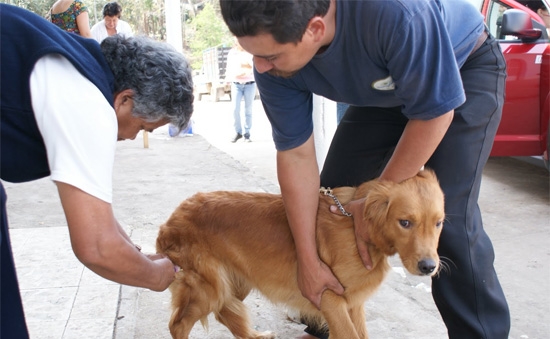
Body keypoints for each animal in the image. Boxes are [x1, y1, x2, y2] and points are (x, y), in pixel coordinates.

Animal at [156, 169, 448, 338]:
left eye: (439, 223)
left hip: (237, 281)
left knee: (224, 314)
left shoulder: (353, 303)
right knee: (178, 324)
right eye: (405, 222)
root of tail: (171, 219)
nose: (428, 267)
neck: (358, 226)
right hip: (208, 288)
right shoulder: (331, 298)